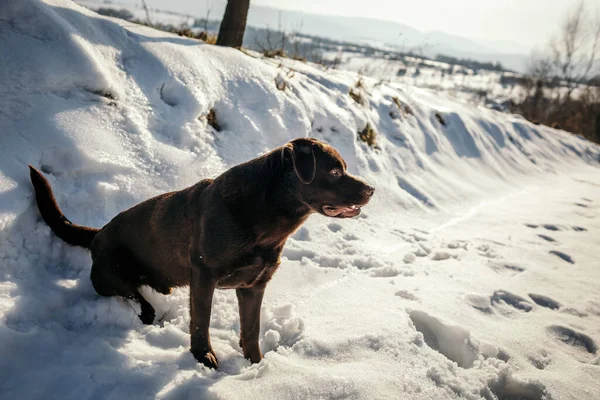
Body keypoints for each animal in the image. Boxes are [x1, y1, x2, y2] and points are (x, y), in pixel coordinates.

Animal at [30, 138, 376, 368]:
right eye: (334, 171)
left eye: (344, 168)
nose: (371, 189)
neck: (265, 218)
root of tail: (98, 232)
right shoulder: (204, 276)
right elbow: (201, 322)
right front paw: (203, 358)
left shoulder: (254, 286)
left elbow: (251, 330)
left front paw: (257, 365)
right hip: (110, 275)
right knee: (132, 297)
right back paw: (147, 311)